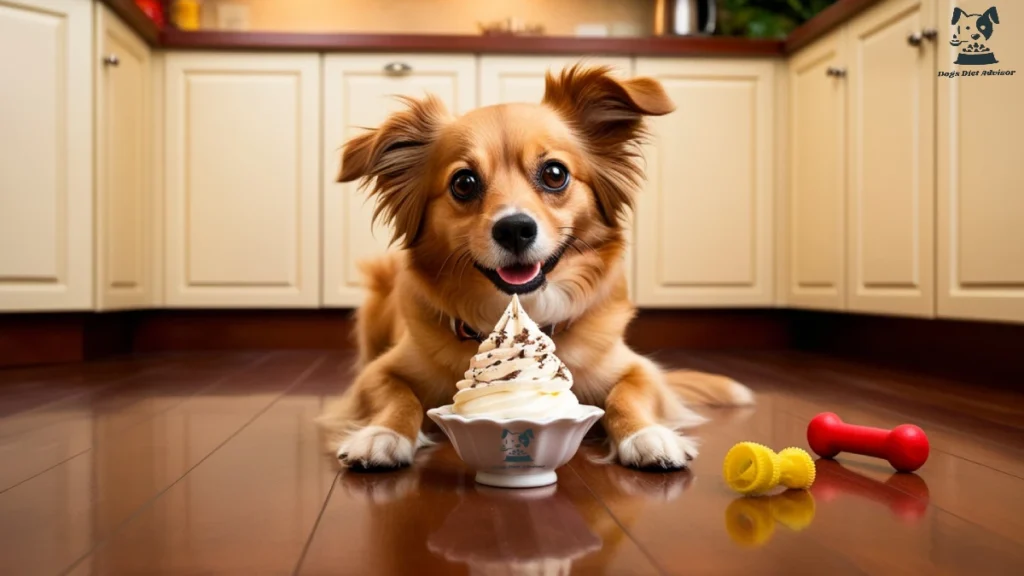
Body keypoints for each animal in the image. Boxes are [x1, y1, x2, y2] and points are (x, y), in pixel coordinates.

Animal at [315, 65, 757, 469]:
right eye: (464, 183)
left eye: (555, 174)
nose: (514, 229)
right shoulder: (379, 373)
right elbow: (398, 397)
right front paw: (381, 434)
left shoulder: (637, 368)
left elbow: (627, 394)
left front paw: (648, 435)